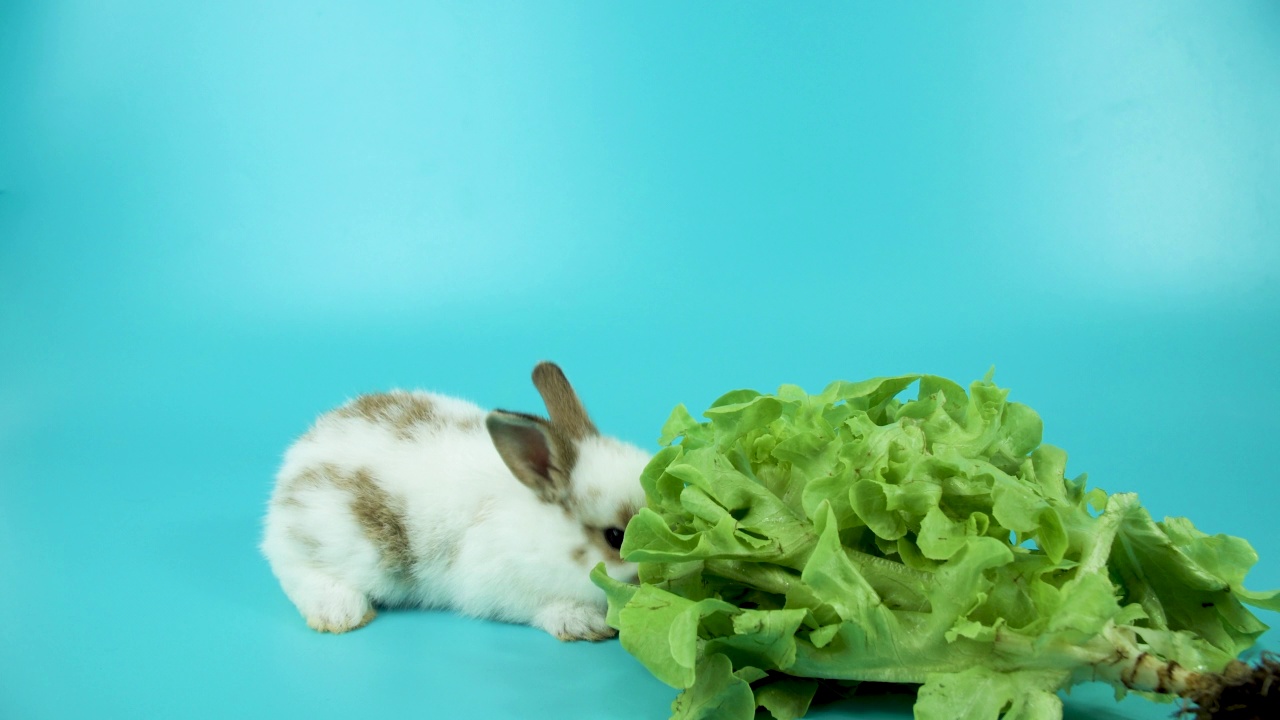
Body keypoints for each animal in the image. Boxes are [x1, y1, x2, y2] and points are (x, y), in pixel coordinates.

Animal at [259, 358, 650, 638]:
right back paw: (339, 612)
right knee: (295, 568)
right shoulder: (497, 583)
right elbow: (537, 606)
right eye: (615, 537)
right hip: (346, 544)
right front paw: (583, 622)